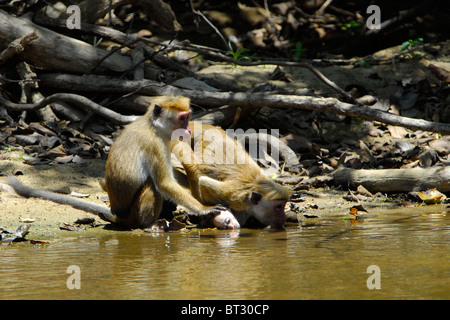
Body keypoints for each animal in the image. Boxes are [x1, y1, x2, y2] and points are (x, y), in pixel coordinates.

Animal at [7, 95, 239, 230]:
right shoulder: (154, 145)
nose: (188, 129)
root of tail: (117, 213)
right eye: (183, 118)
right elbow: (164, 184)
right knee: (152, 186)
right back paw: (148, 225)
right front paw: (205, 209)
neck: (154, 127)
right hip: (133, 213)